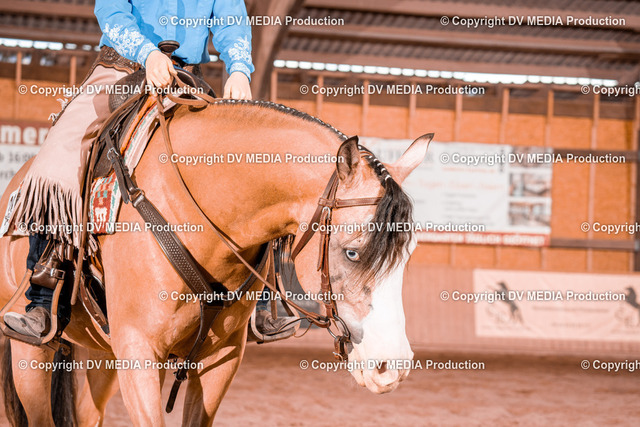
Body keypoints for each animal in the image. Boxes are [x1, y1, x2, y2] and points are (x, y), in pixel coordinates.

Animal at [0, 98, 431, 426]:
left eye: (408, 254)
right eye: (352, 252)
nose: (392, 366)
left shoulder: (219, 359)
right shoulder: (138, 352)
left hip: (100, 355)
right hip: (30, 352)